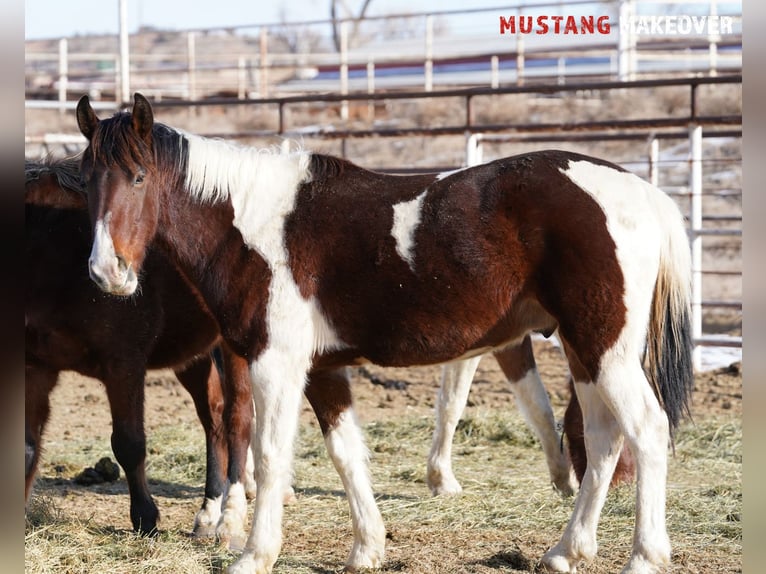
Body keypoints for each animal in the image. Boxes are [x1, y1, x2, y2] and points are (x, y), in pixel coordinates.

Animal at [78, 95, 696, 574]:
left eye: (138, 177)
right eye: (86, 182)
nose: (107, 273)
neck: (253, 224)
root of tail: (643, 193)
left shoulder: (276, 364)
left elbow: (270, 455)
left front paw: (254, 553)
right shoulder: (323, 369)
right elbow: (346, 453)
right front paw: (368, 549)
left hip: (603, 349)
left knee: (646, 429)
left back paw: (645, 556)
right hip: (586, 351)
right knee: (604, 437)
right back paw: (568, 550)